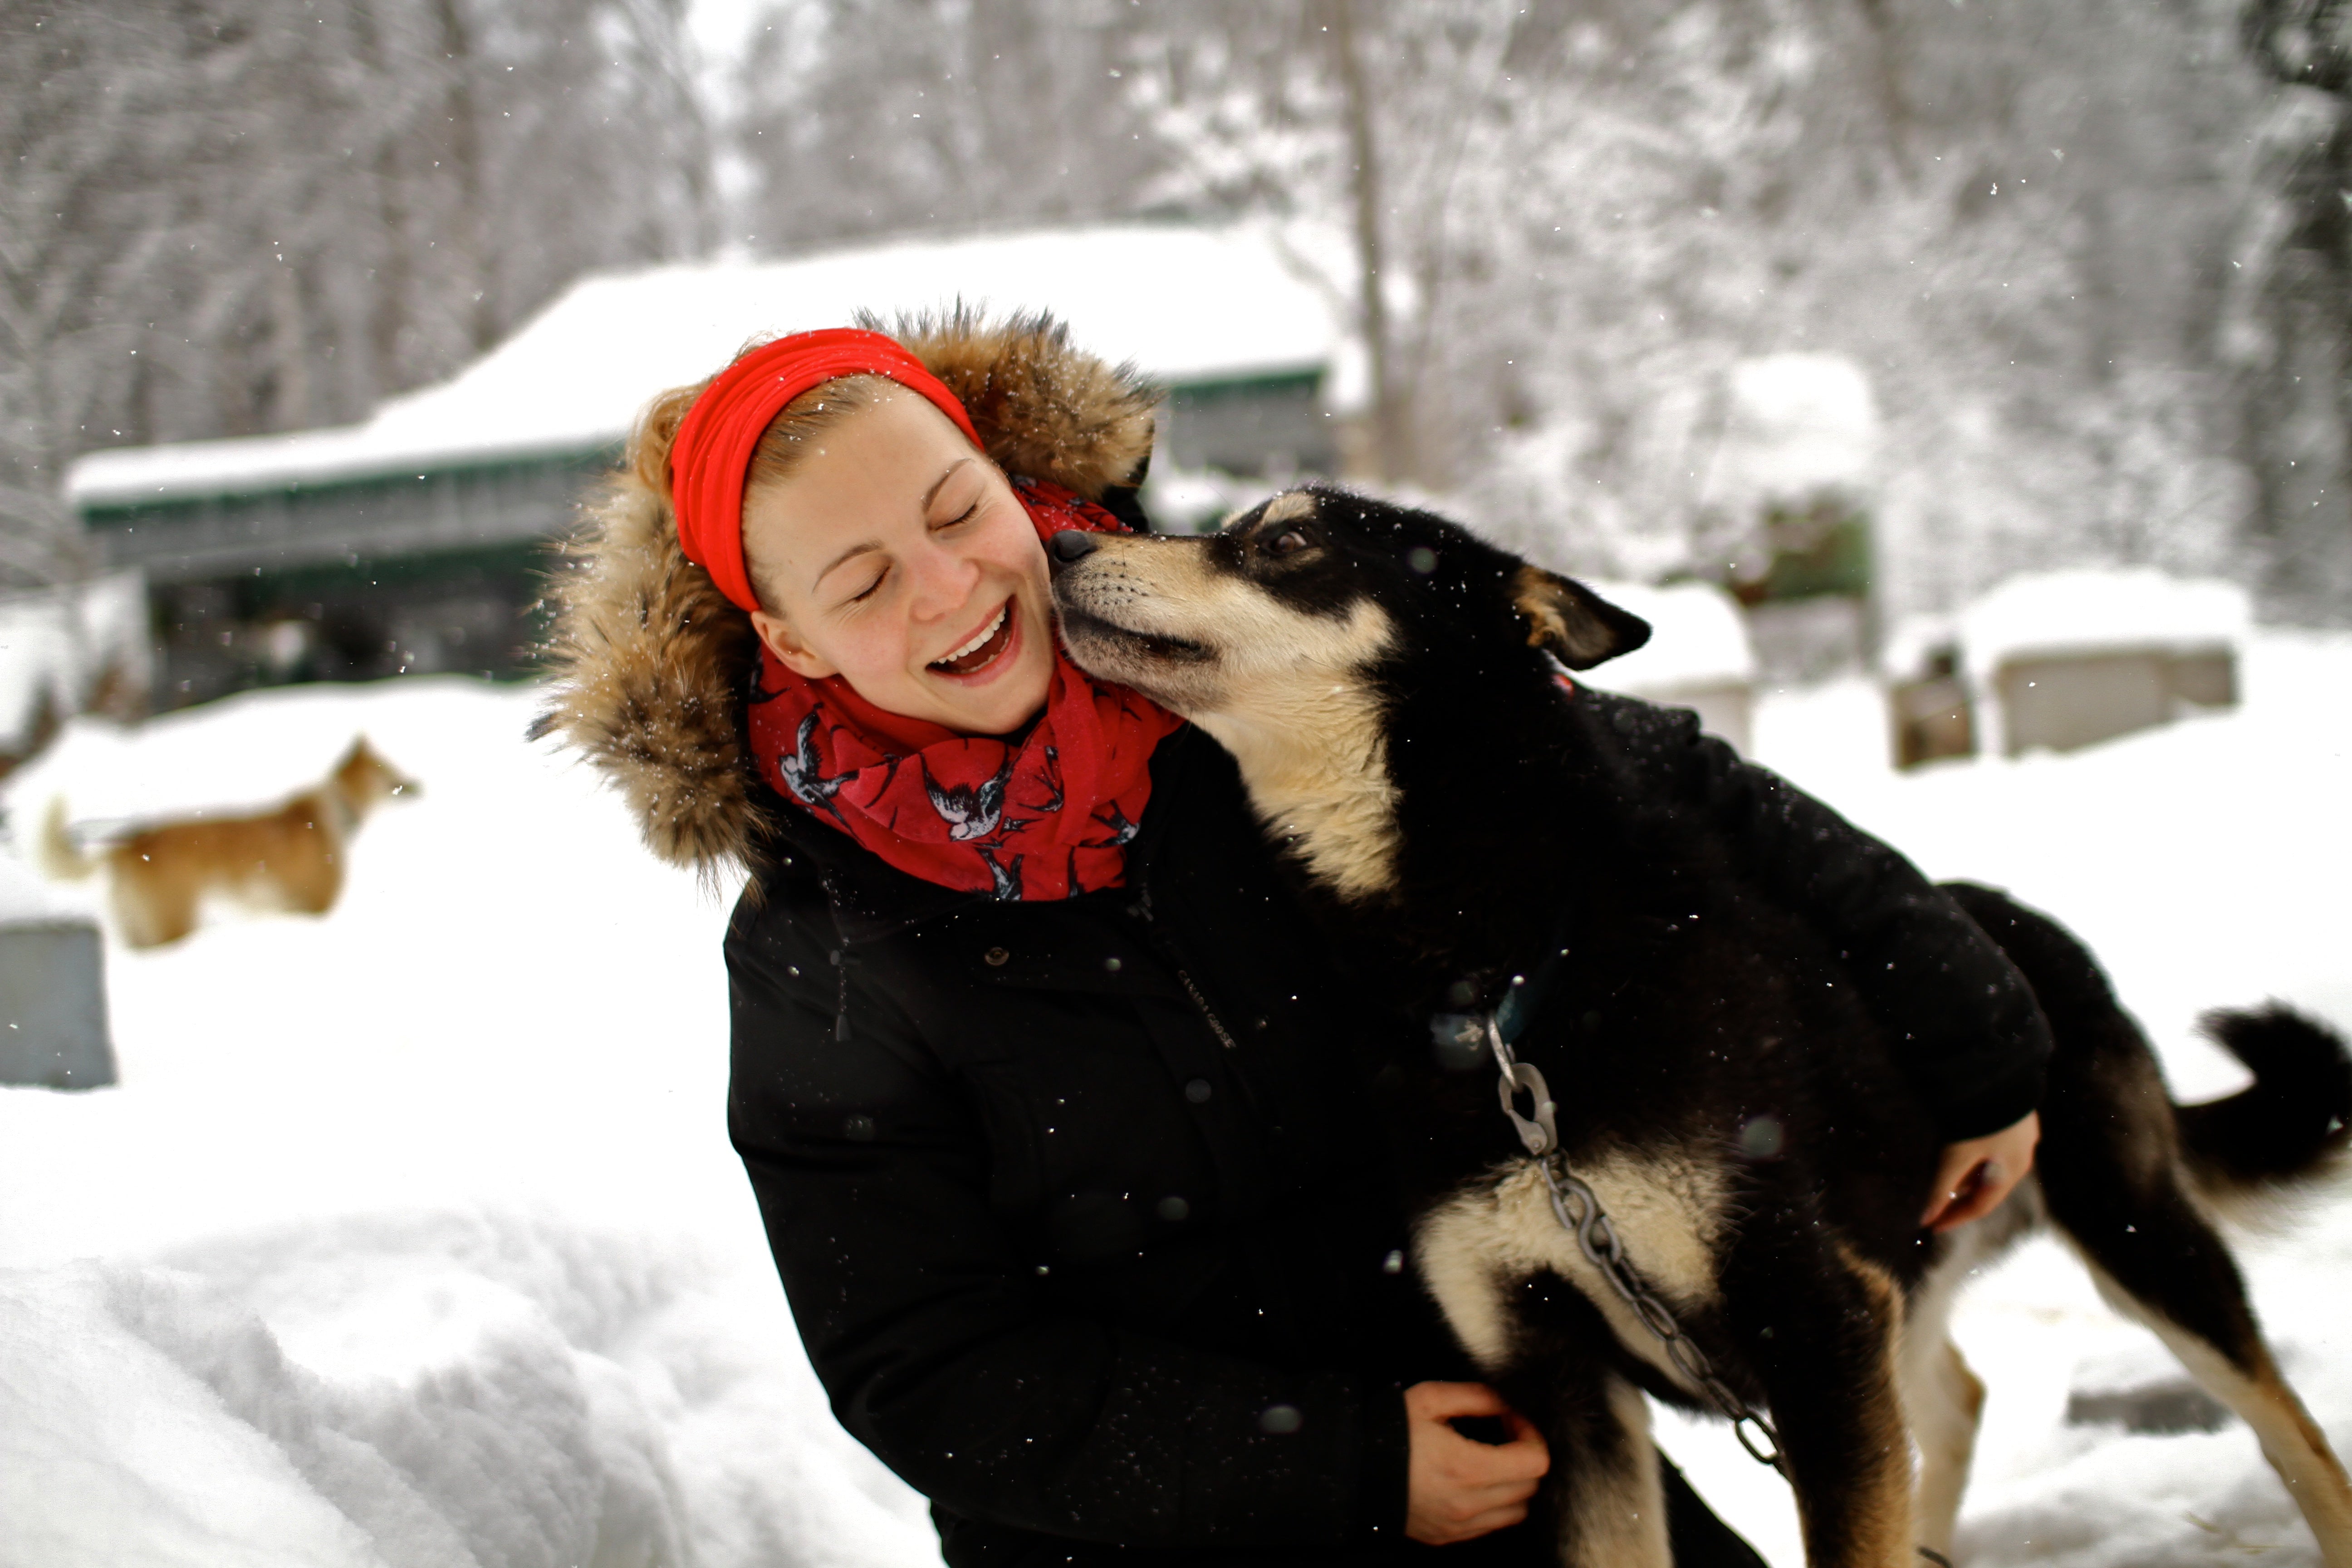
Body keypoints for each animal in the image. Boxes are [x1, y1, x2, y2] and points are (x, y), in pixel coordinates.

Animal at [35, 738, 418, 945]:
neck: (338, 808)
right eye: (388, 768)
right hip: (174, 922)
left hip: (141, 929)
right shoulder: (316, 907)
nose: (417, 784)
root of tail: (128, 847)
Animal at [1054, 486, 2352, 1568]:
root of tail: (2008, 922)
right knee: (1959, 1400)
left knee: (2289, 1434)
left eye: (1283, 543)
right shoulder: (1560, 1391)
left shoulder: (1812, 1329)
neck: (1496, 987)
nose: (1062, 546)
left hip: (2133, 1232)